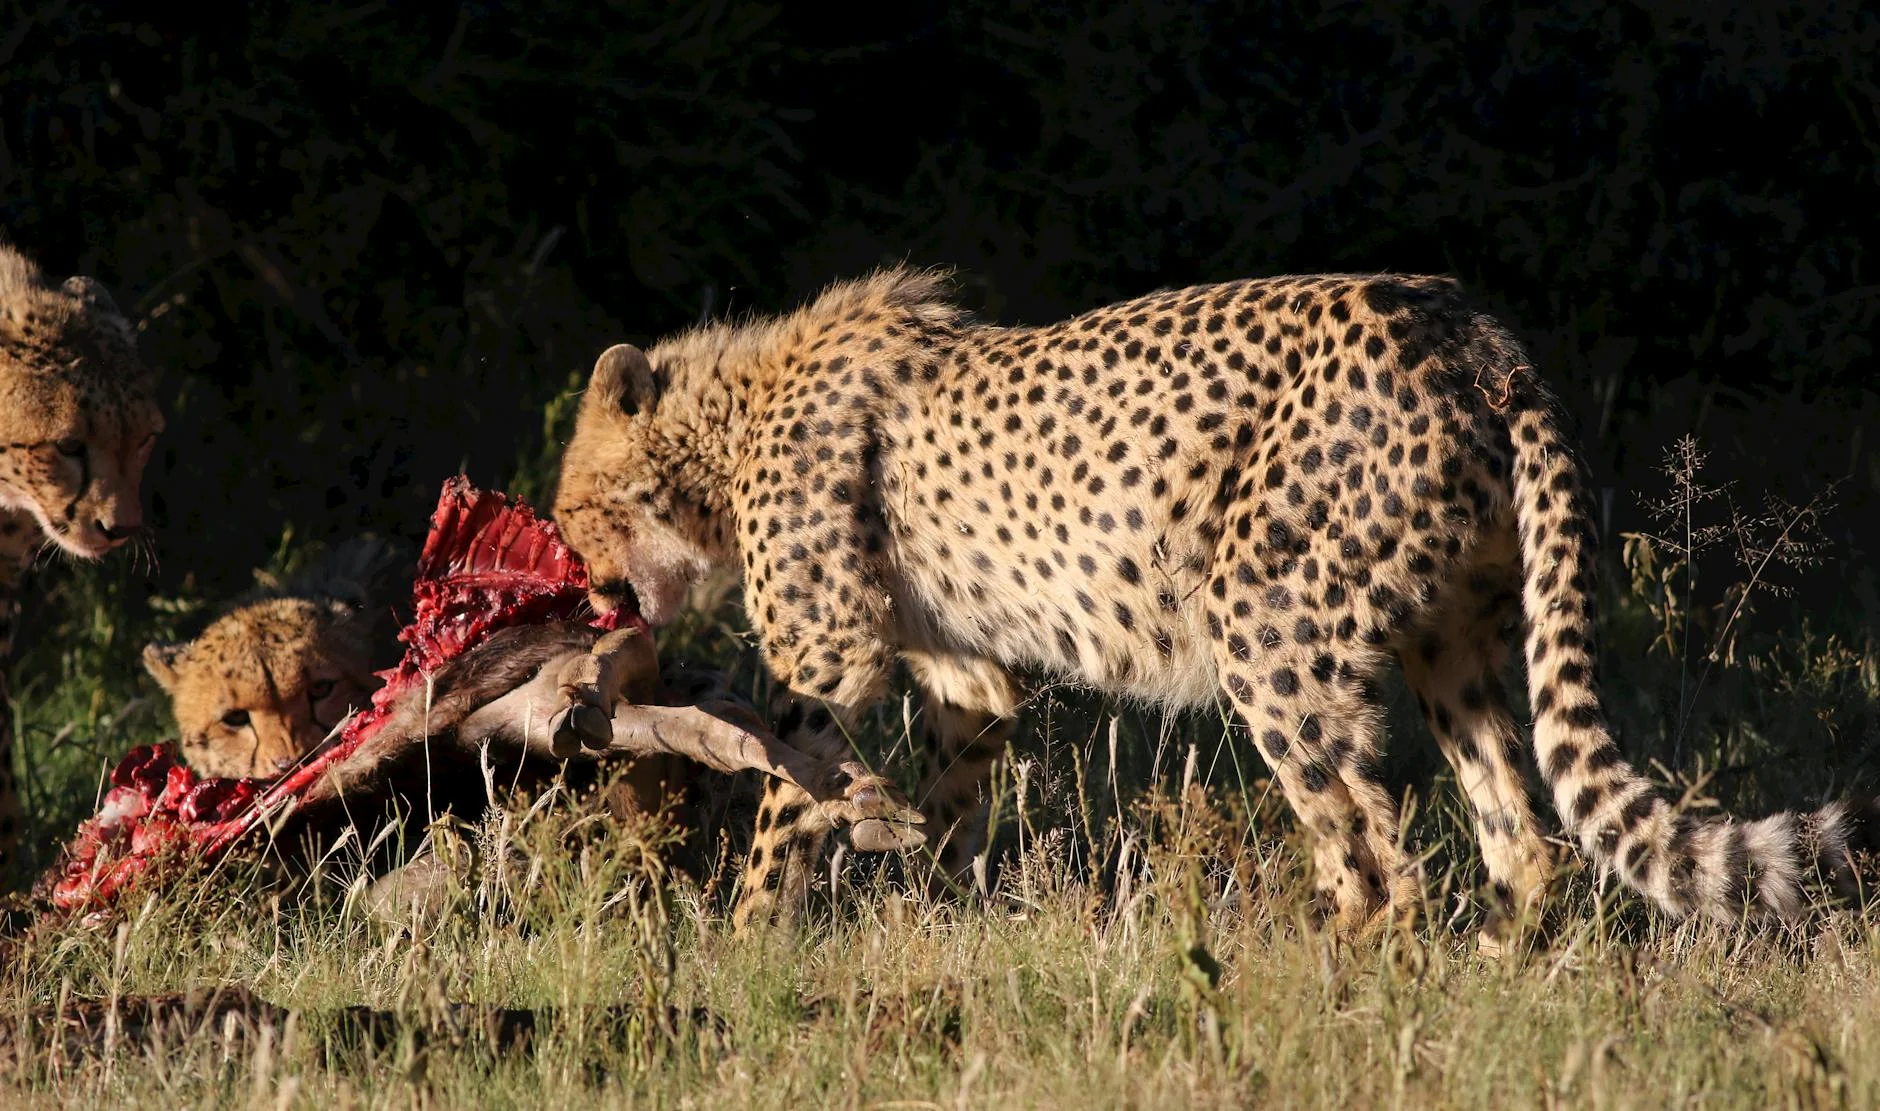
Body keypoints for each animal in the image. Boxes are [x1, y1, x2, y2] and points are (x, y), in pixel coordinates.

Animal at [551, 265, 1880, 946]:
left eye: (571, 514)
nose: (589, 592)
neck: (725, 424)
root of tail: (1473, 332)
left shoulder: (831, 651)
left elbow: (789, 777)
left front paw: (747, 932)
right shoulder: (965, 666)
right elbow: (950, 780)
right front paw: (933, 896)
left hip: (1269, 622)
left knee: (1374, 847)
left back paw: (1328, 974)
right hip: (1449, 642)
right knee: (1516, 833)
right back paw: (1502, 972)